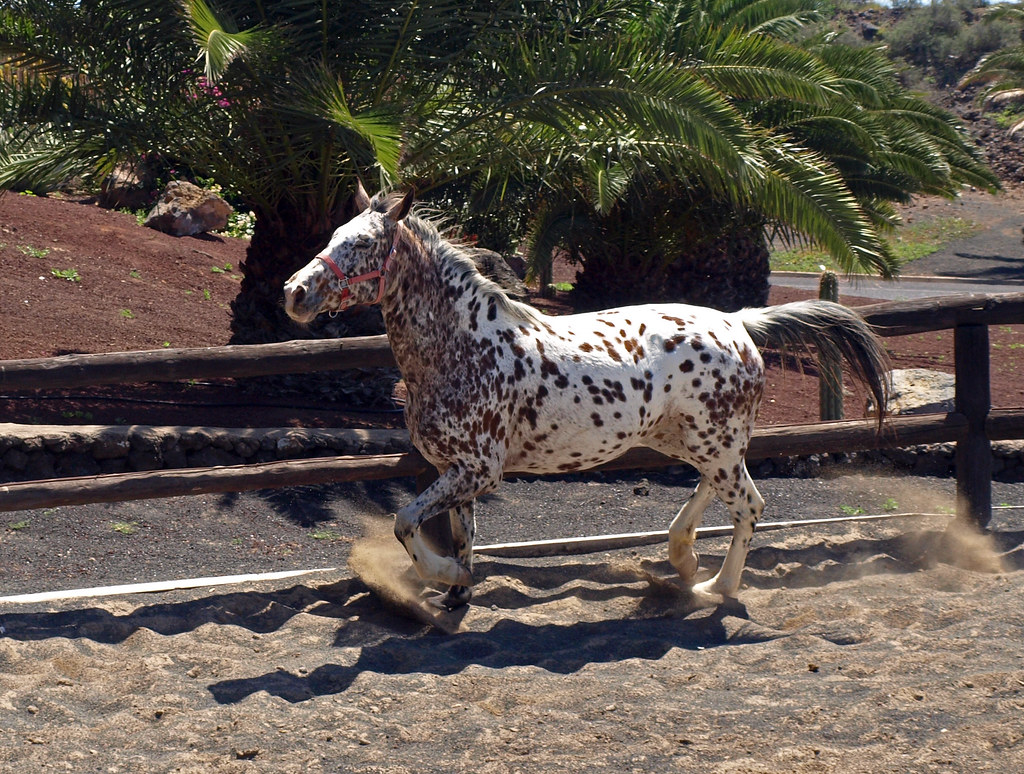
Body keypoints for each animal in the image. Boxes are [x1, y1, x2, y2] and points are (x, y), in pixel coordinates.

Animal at [283, 186, 890, 610]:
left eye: (363, 244)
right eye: (334, 234)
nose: (294, 292)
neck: (461, 347)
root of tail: (738, 323)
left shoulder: (478, 469)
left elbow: (406, 523)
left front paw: (450, 580)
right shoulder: (455, 470)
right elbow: (460, 535)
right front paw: (457, 594)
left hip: (714, 443)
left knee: (749, 507)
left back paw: (717, 587)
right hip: (691, 441)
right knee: (716, 491)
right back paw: (683, 556)